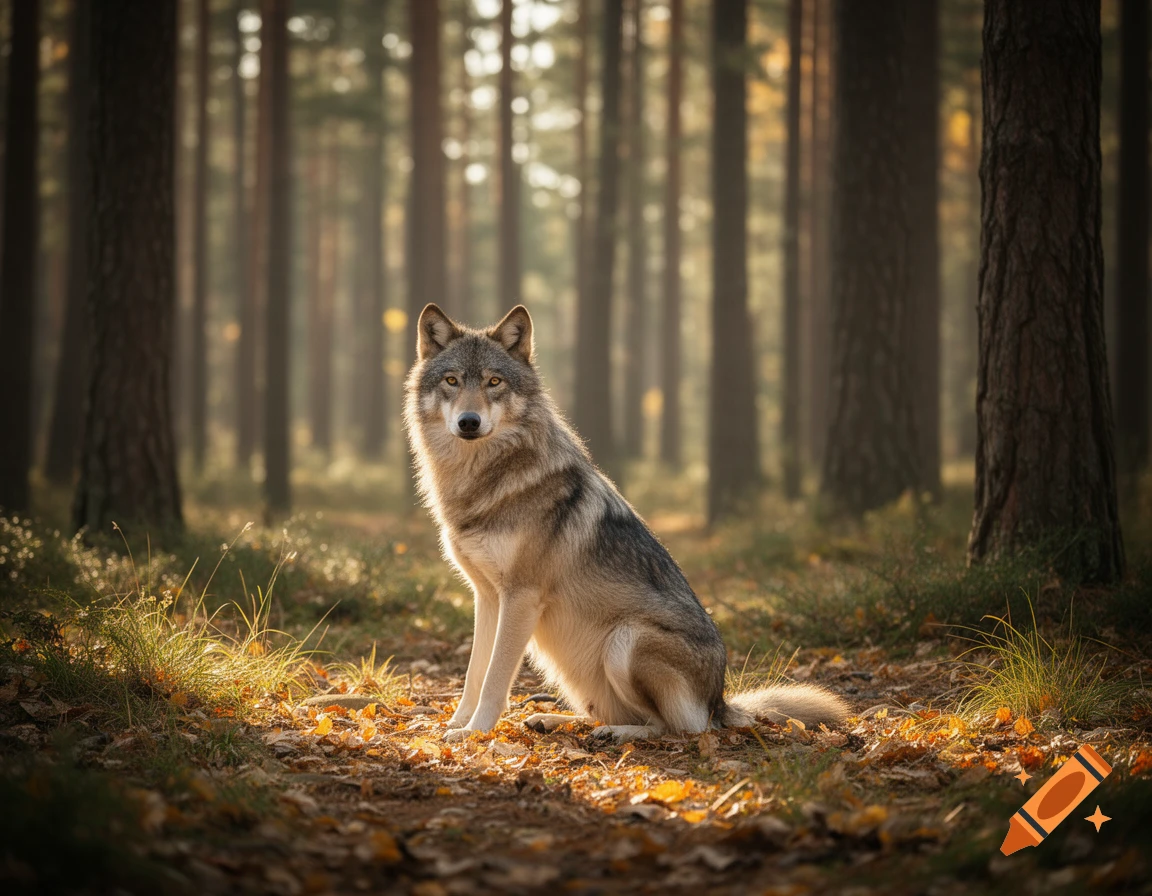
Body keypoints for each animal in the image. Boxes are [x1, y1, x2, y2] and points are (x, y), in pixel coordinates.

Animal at [404, 303, 849, 742]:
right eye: (452, 381)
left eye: (494, 381)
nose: (469, 421)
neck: (482, 482)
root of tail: (720, 702)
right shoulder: (486, 596)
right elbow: (474, 673)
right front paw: (457, 724)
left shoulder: (520, 597)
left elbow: (495, 679)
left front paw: (475, 733)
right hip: (577, 670)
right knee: (610, 713)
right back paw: (554, 720)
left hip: (625, 640)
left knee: (676, 728)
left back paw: (615, 734)